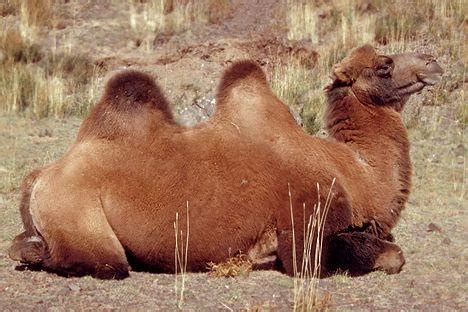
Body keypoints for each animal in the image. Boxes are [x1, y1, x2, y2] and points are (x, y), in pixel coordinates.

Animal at [8, 43, 442, 278]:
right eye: (384, 65)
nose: (432, 62)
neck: (356, 172)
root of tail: (40, 176)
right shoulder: (305, 228)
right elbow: (390, 254)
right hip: (83, 220)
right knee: (97, 260)